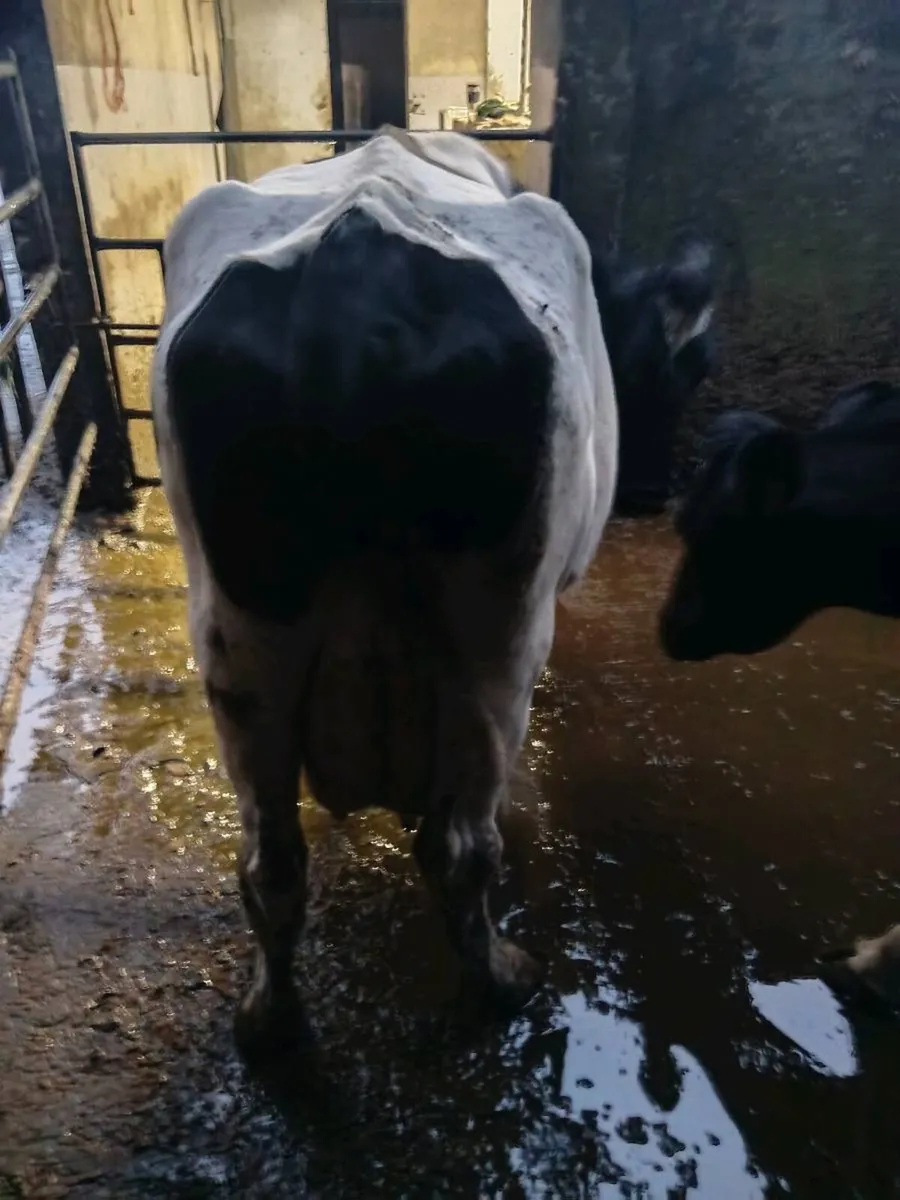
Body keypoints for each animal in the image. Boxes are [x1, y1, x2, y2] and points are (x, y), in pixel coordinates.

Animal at [152, 126, 711, 1046]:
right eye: (682, 367)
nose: (650, 492)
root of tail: (357, 250)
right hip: (498, 632)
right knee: (461, 847)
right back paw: (503, 981)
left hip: (240, 635)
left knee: (272, 858)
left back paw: (269, 1016)